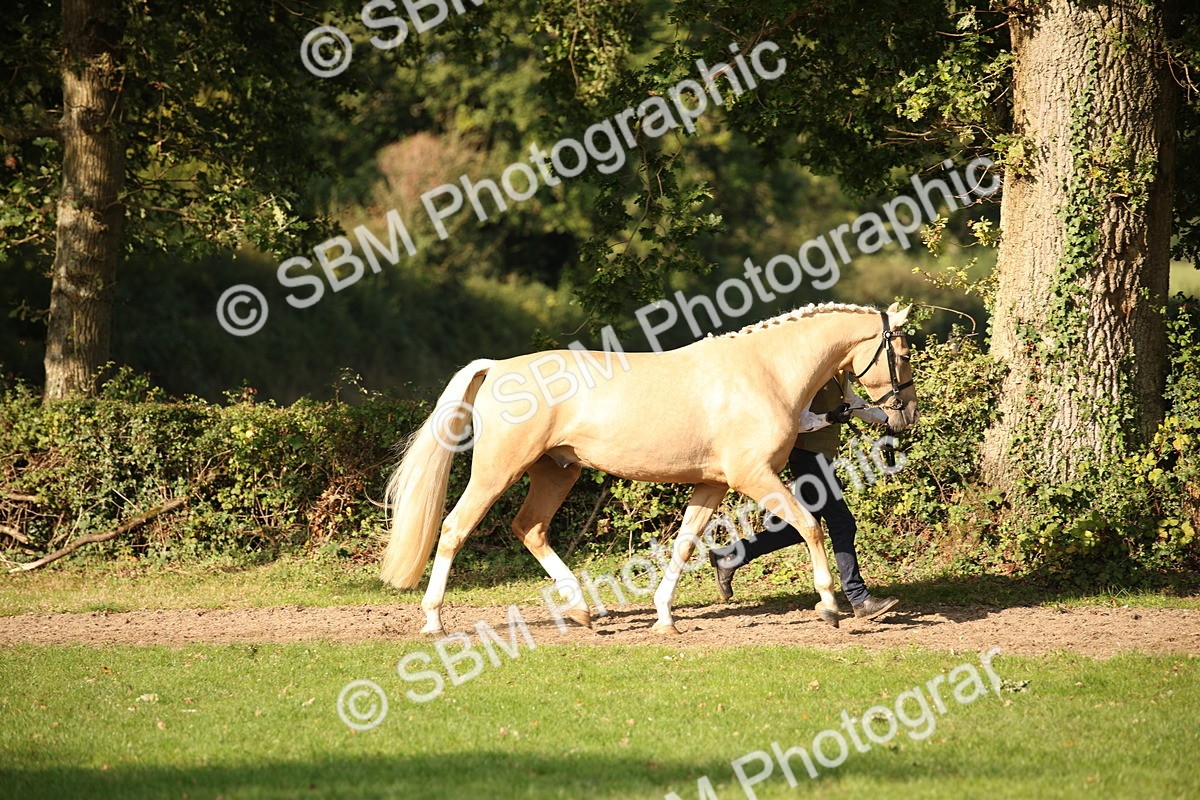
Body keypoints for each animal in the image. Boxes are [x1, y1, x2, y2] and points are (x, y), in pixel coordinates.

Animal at [380, 302, 917, 635]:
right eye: (903, 352)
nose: (905, 414)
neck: (765, 372)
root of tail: (496, 366)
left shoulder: (711, 485)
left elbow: (685, 544)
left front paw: (664, 616)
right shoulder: (755, 477)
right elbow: (810, 525)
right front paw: (828, 606)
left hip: (557, 472)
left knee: (529, 528)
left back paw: (581, 611)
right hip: (497, 472)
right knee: (454, 528)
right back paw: (433, 621)